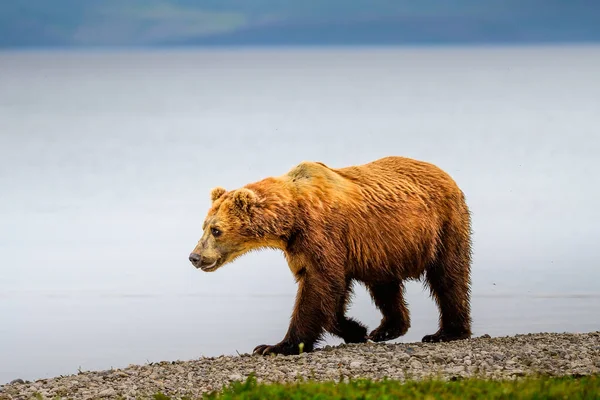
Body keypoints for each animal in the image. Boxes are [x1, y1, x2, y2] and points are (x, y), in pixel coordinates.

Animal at [190, 156, 472, 356]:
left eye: (216, 230)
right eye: (203, 225)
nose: (194, 257)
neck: (291, 219)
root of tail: (445, 174)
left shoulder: (322, 232)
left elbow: (321, 285)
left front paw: (274, 346)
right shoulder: (302, 247)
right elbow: (329, 290)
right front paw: (356, 329)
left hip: (443, 224)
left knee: (448, 276)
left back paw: (447, 332)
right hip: (384, 246)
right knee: (384, 285)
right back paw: (387, 329)